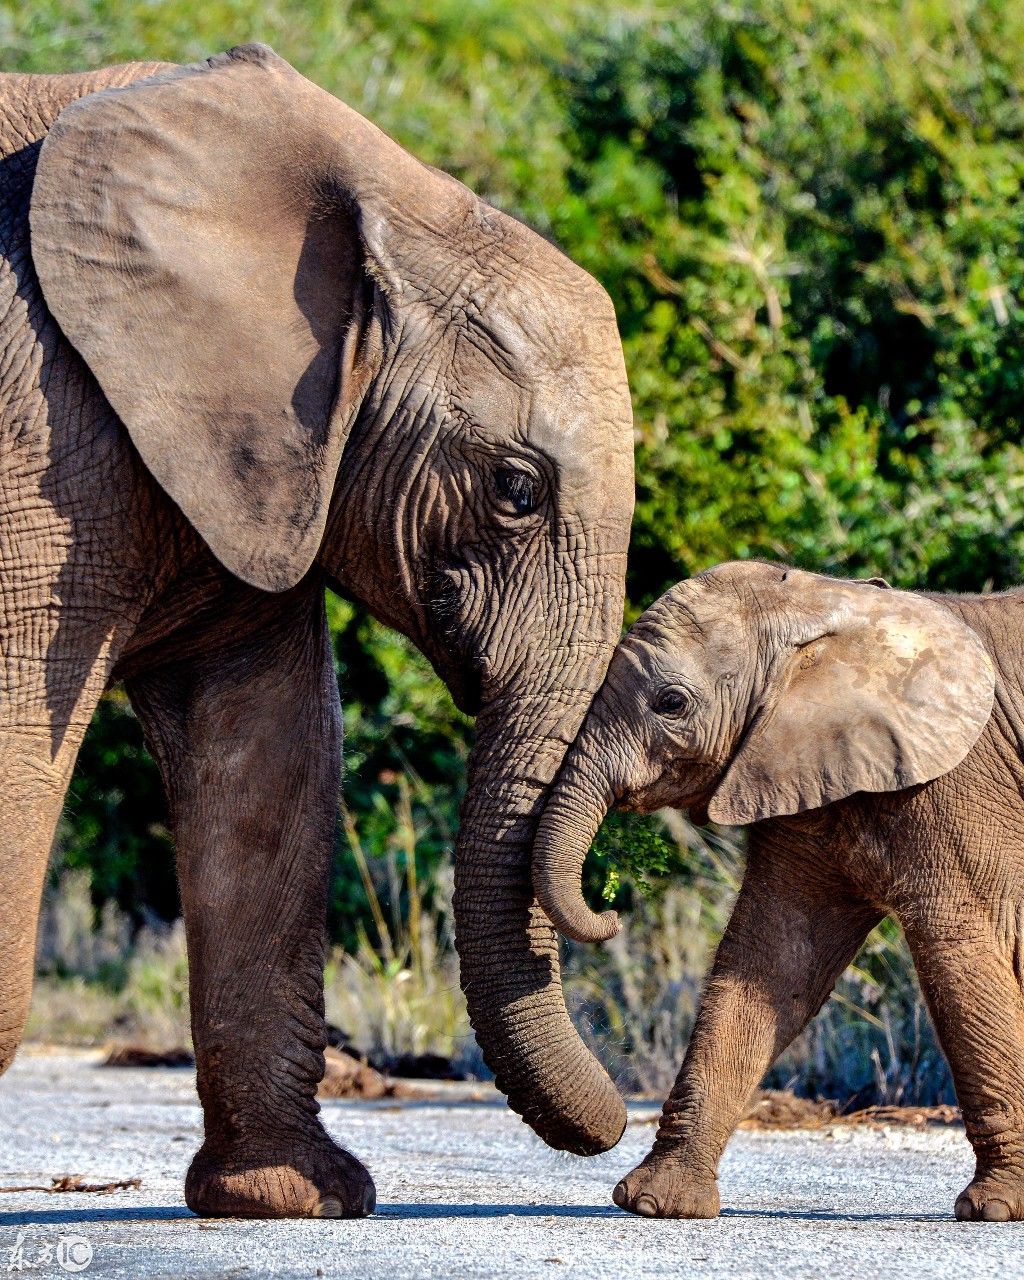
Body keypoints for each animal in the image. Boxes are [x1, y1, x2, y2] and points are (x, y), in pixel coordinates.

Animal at [2, 42, 632, 1218]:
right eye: (516, 488)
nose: (617, 1151)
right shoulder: (39, 429)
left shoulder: (249, 454)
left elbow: (271, 754)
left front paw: (290, 1199)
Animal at [532, 560, 1024, 1218]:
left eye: (671, 703)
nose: (610, 914)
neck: (829, 605)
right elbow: (770, 959)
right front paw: (657, 1205)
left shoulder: (955, 780)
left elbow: (964, 960)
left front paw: (995, 1208)